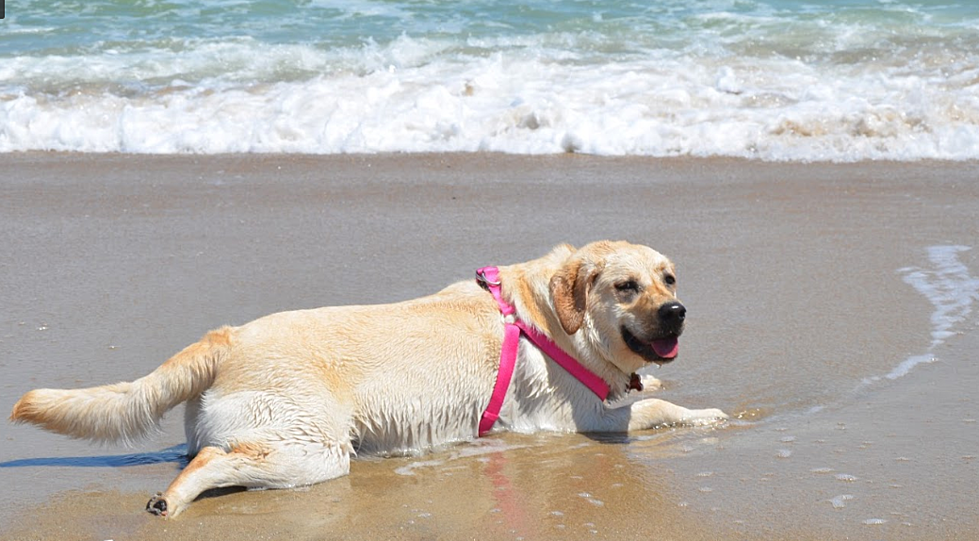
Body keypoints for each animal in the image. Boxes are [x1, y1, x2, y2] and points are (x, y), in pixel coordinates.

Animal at [7, 239, 728, 516]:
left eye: (668, 278)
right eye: (625, 286)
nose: (677, 311)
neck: (548, 316)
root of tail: (227, 337)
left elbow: (646, 392)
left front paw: (659, 387)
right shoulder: (578, 419)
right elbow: (652, 412)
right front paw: (704, 416)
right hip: (313, 449)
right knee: (215, 459)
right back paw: (172, 500)